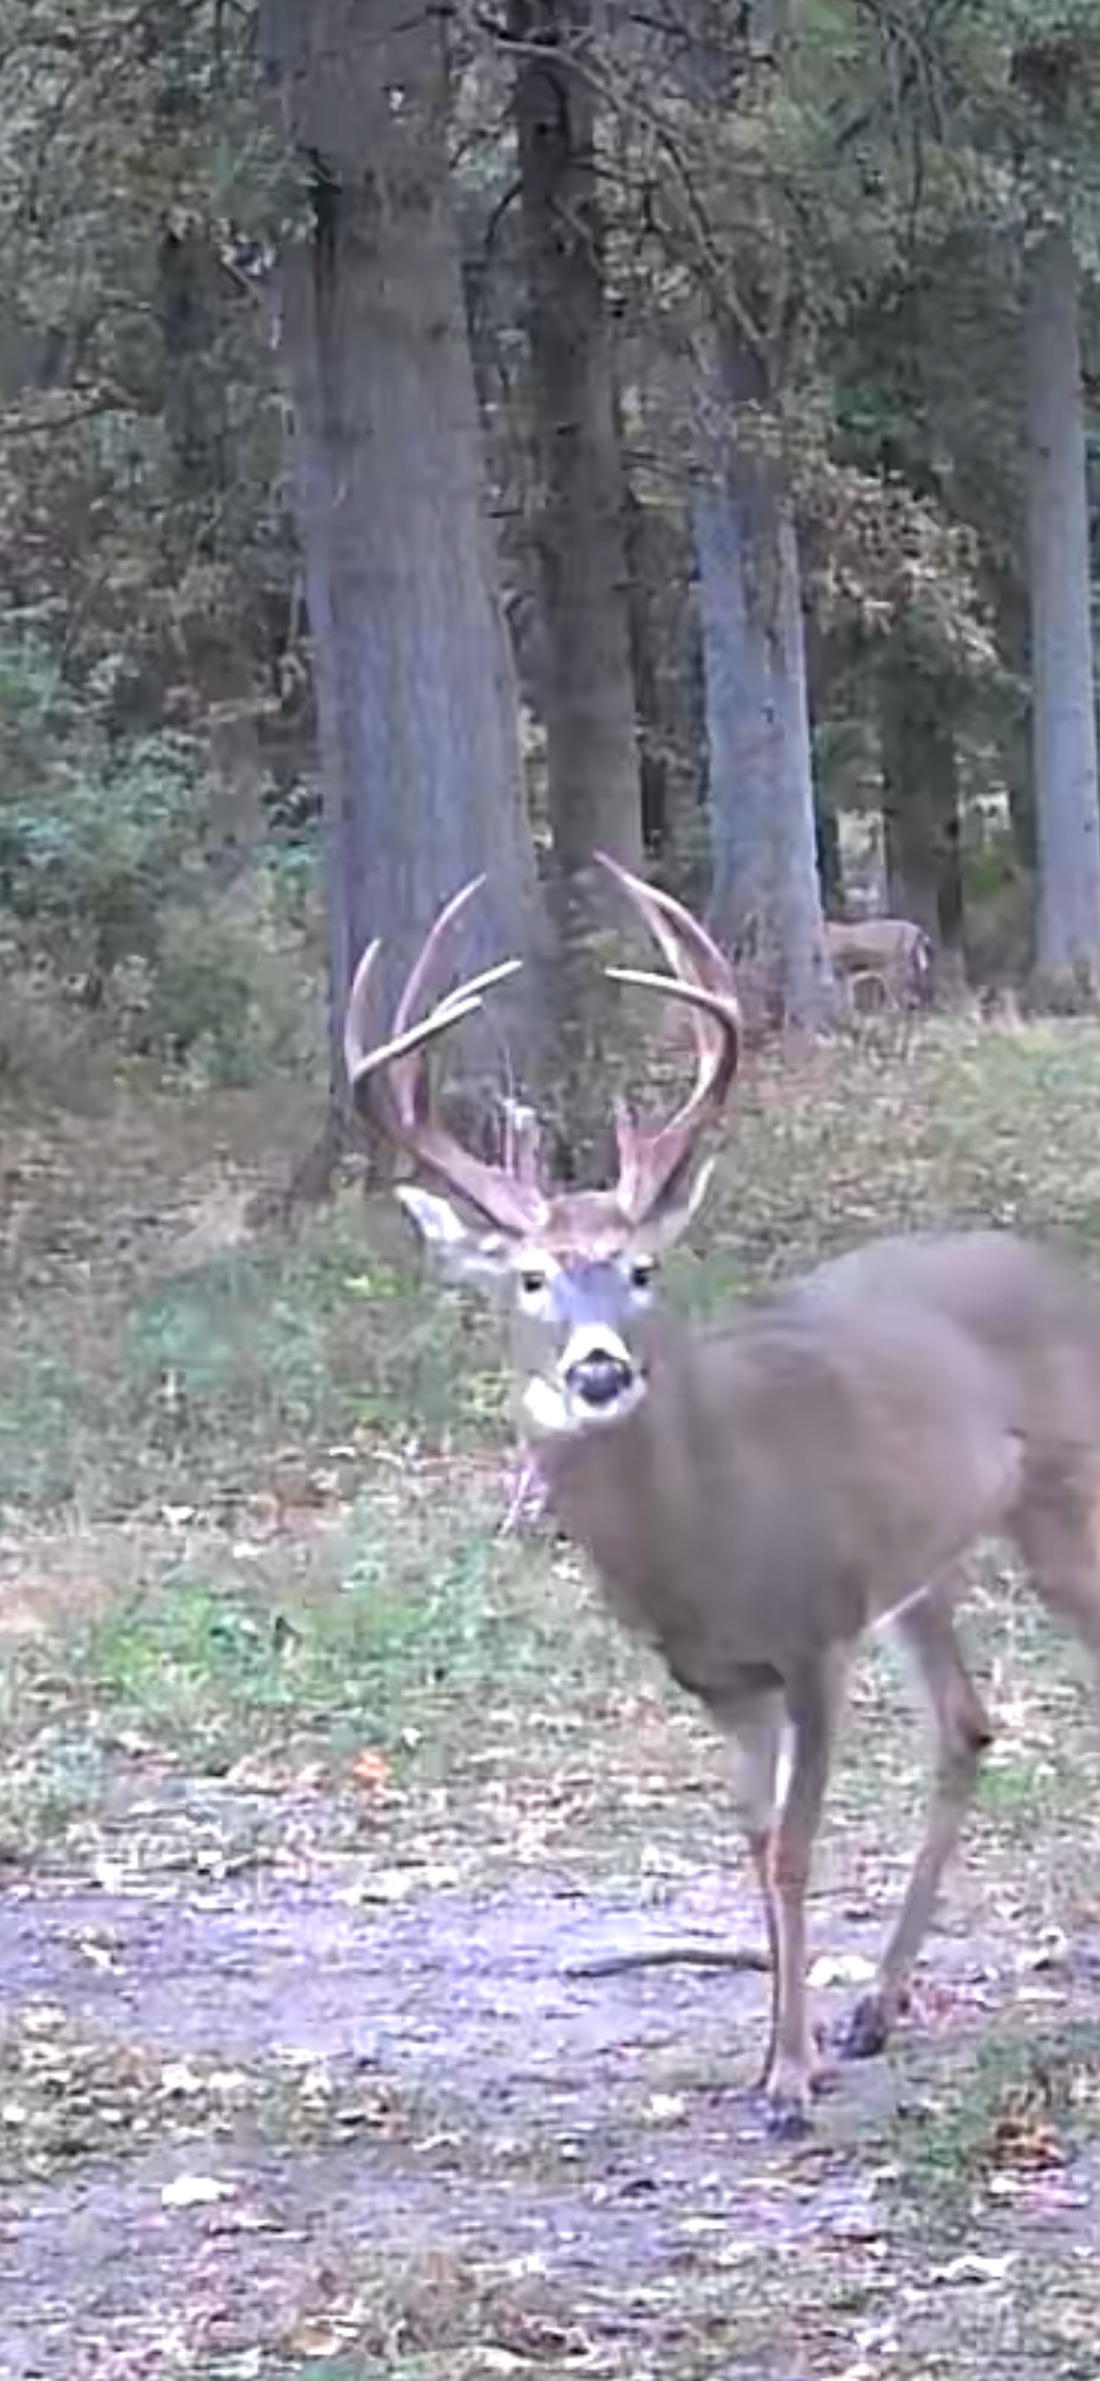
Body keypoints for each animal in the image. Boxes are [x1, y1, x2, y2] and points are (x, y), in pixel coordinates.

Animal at [344, 856, 1100, 2136]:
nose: (599, 1366)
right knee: (965, 1723)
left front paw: (788, 2083)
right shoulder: (720, 1680)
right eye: (530, 1275)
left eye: (640, 1266)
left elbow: (793, 1846)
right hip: (923, 1564)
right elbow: (751, 1845)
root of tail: (1064, 1272)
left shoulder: (814, 1634)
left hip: (1061, 1506)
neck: (710, 1537)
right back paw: (876, 2006)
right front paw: (778, 2054)